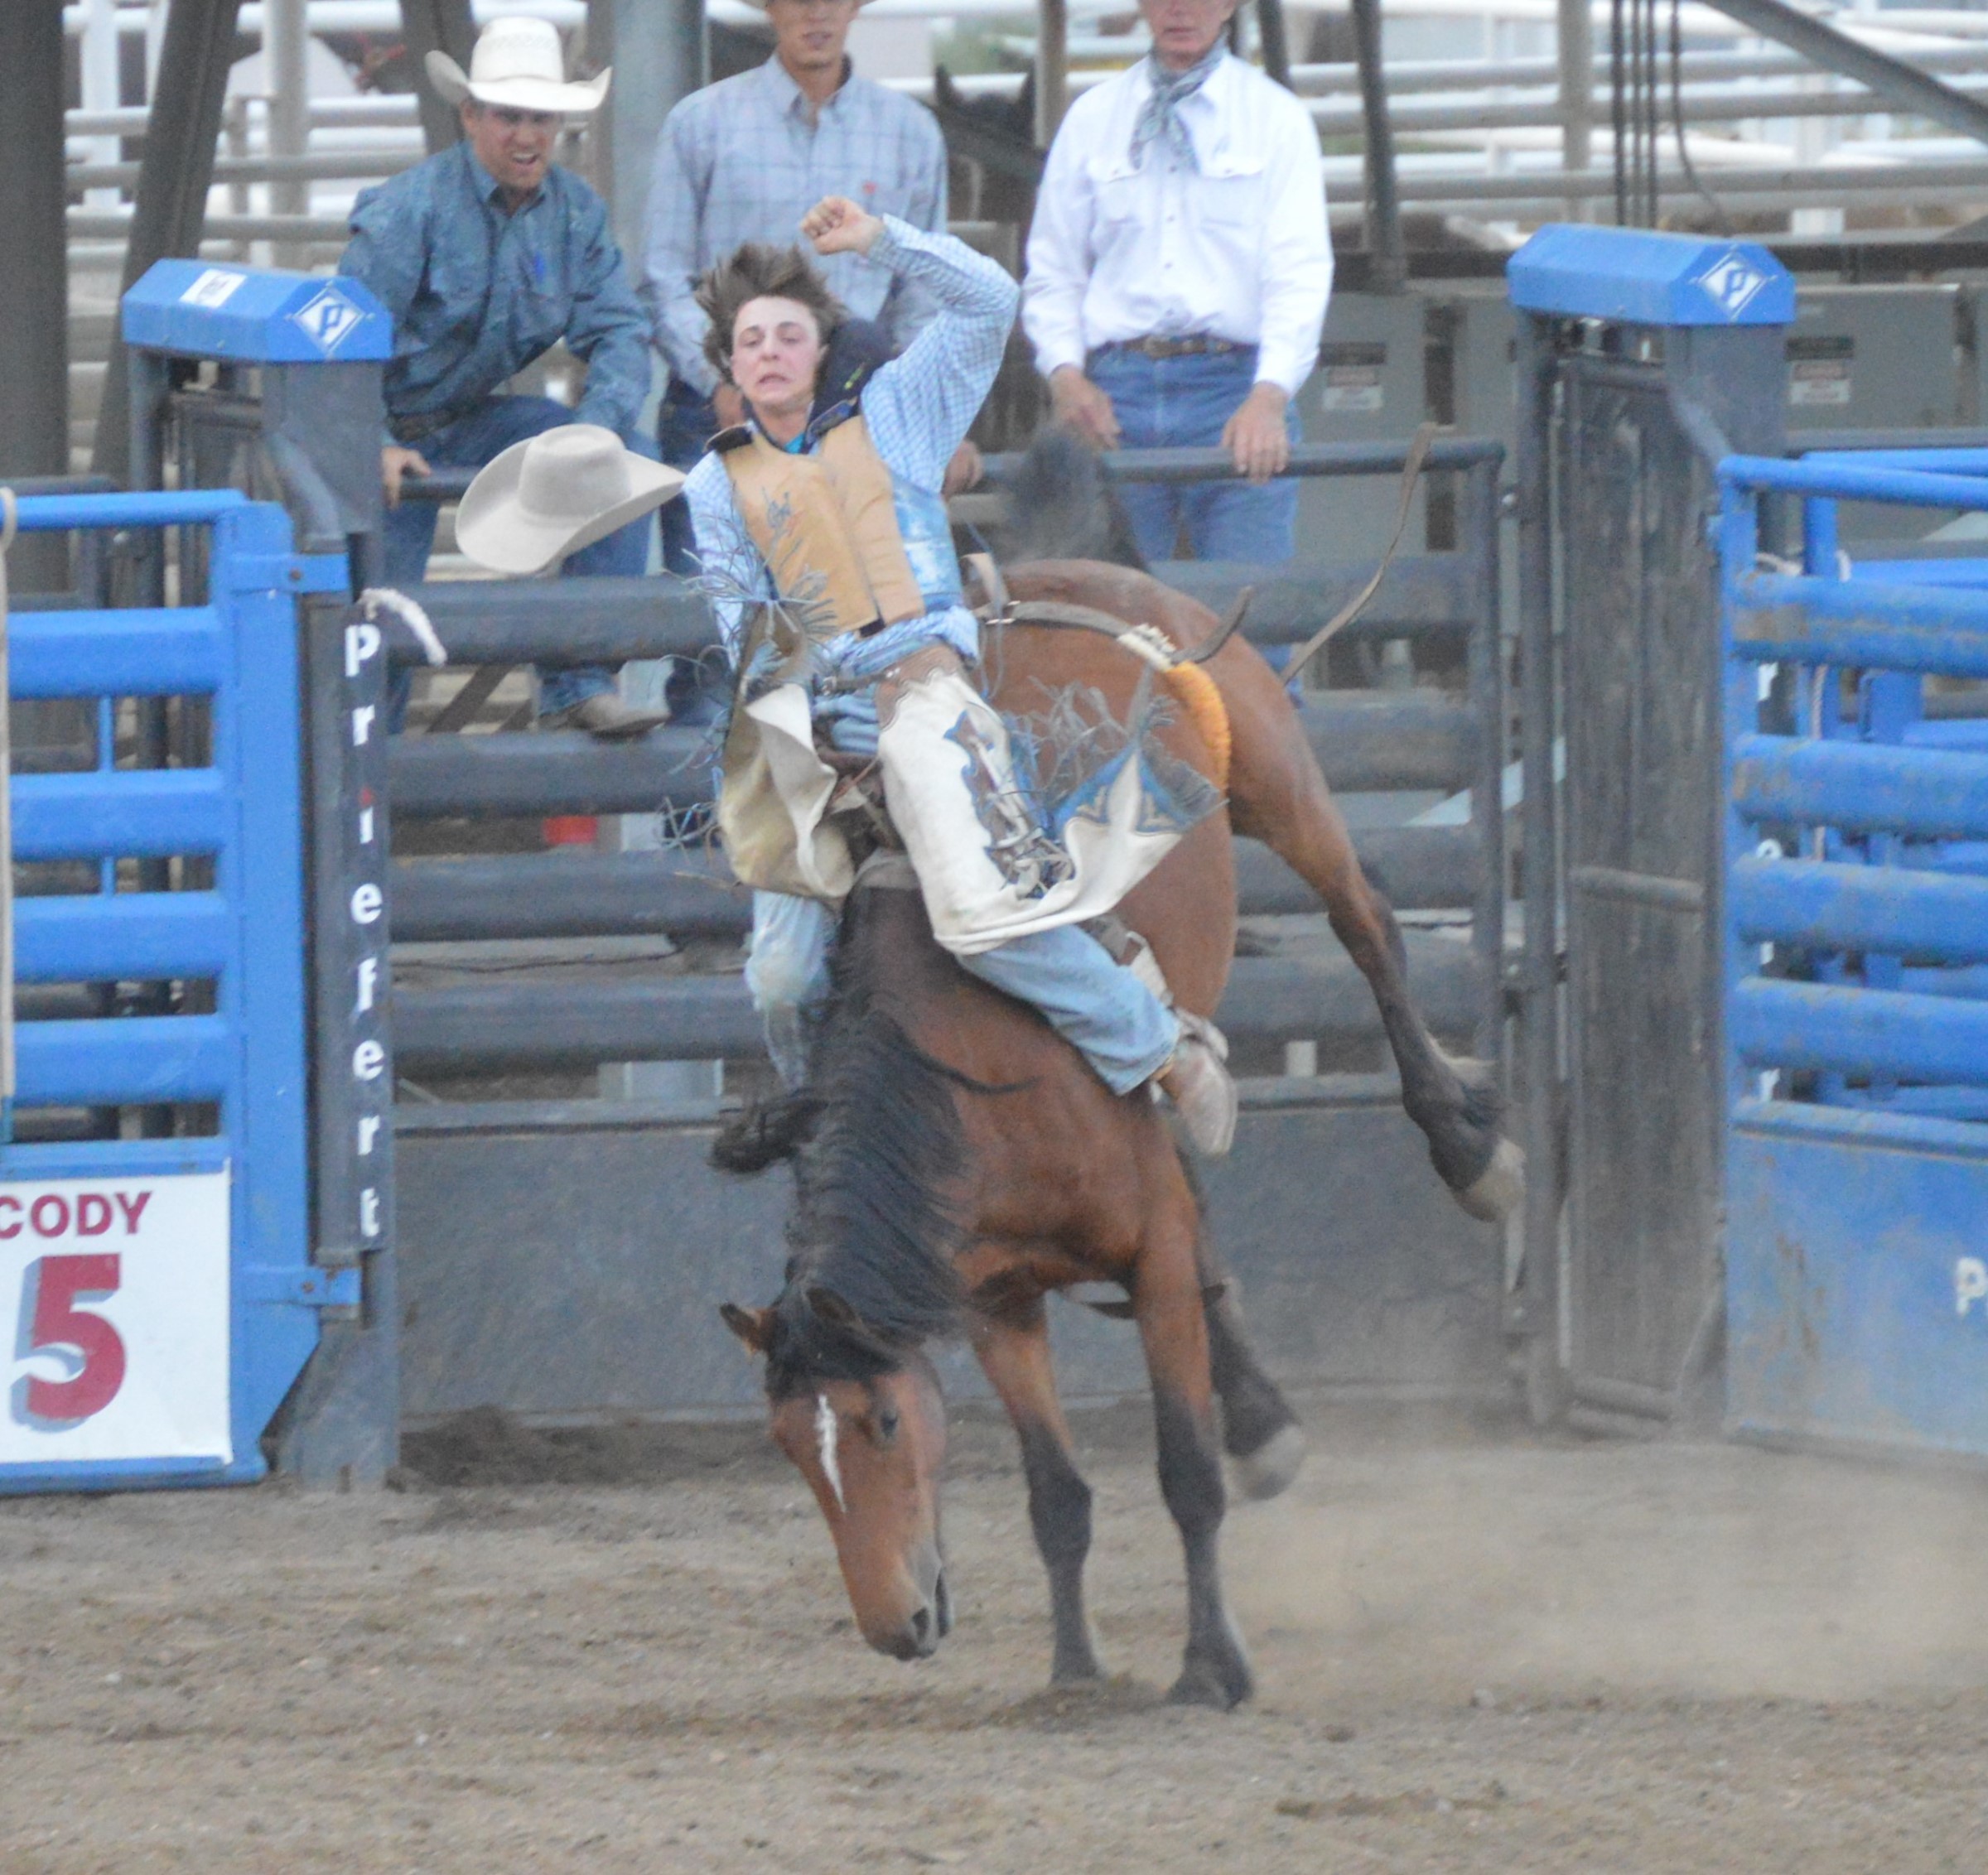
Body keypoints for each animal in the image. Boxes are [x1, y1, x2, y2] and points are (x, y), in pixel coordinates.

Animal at [716, 451, 1518, 1702]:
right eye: (794, 1446)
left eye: (884, 1424)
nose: (898, 1626)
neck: (984, 1080)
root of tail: (1057, 571)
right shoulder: (996, 1301)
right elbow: (1057, 1493)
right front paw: (1076, 1668)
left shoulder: (1149, 1257)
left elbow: (1182, 1468)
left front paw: (1211, 1667)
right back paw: (1264, 1418)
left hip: (1277, 775)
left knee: (1369, 923)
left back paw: (1472, 1151)